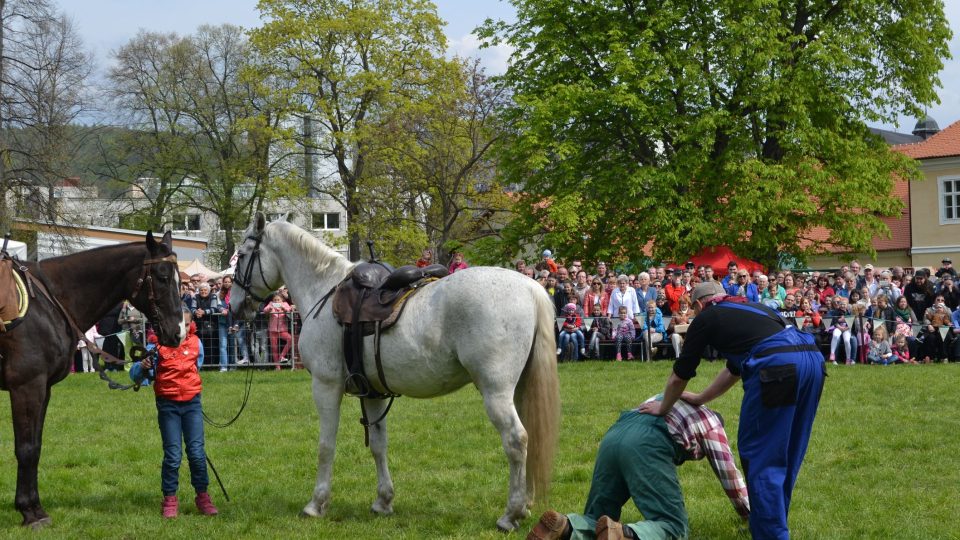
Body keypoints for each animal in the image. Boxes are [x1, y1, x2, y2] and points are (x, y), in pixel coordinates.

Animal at [0, 230, 184, 524]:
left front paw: (34, 507)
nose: (177, 332)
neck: (48, 303)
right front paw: (29, 512)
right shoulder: (27, 387)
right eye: (163, 277)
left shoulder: (43, 389)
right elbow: (26, 448)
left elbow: (36, 446)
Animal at [228, 213, 560, 528]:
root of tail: (530, 287)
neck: (322, 291)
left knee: (516, 441)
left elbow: (326, 446)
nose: (234, 306)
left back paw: (511, 514)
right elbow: (378, 445)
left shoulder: (326, 386)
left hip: (496, 392)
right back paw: (525, 505)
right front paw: (383, 501)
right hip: (519, 389)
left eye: (242, 255)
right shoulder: (372, 393)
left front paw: (316, 504)